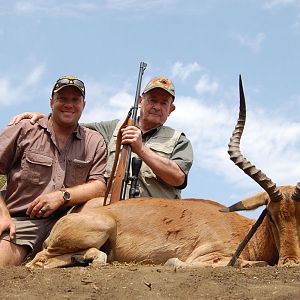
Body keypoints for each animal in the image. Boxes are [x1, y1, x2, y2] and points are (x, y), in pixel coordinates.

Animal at [26, 76, 300, 268]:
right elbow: (249, 263)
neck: (245, 231)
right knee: (38, 261)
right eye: (270, 215)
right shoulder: (206, 257)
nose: (291, 262)